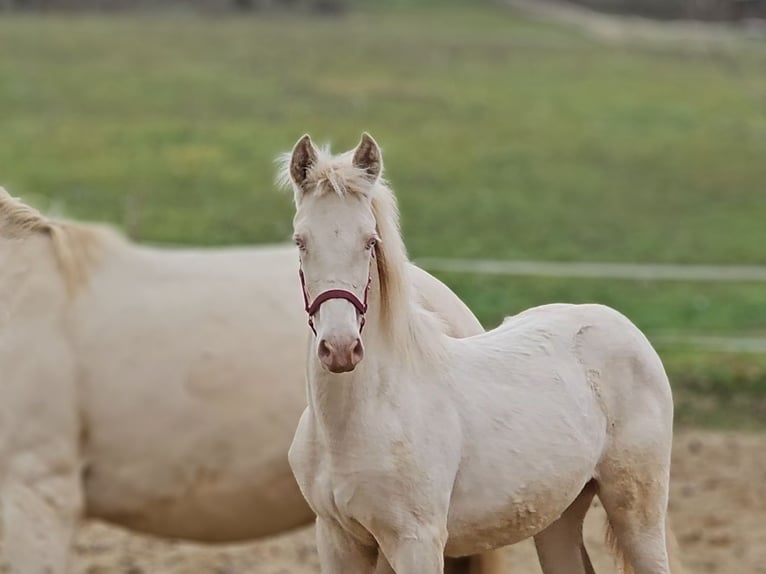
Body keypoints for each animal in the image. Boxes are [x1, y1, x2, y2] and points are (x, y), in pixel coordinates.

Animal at [284, 133, 686, 574]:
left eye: (370, 241)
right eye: (300, 241)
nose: (340, 348)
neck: (360, 416)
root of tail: (623, 327)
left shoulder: (416, 542)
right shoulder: (338, 539)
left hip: (637, 512)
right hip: (558, 516)